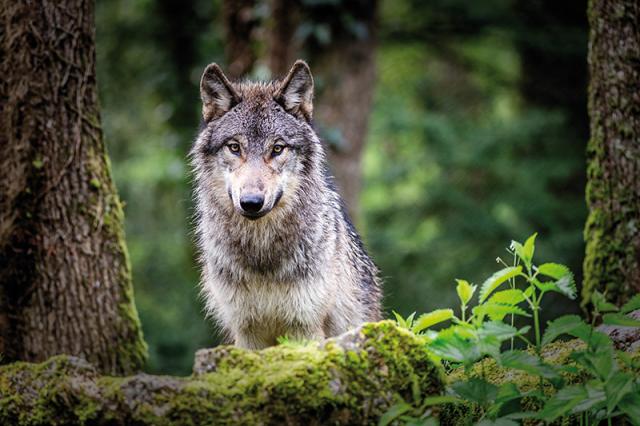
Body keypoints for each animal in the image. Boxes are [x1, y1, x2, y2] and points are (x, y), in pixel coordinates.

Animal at [191, 60, 382, 349]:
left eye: (277, 148)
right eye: (234, 147)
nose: (251, 203)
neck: (262, 254)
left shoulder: (304, 327)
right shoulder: (246, 332)